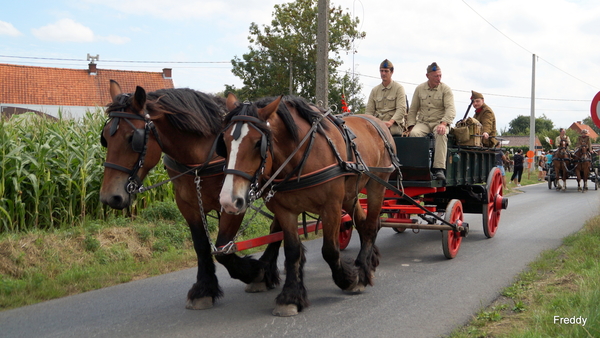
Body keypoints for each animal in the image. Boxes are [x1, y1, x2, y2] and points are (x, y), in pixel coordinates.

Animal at [99, 80, 282, 310]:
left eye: (133, 138)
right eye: (105, 138)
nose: (110, 197)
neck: (202, 156)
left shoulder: (235, 202)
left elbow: (222, 249)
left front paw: (255, 271)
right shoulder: (187, 203)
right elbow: (201, 245)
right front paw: (204, 290)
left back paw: (266, 270)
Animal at [217, 93, 398, 316]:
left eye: (258, 142)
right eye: (224, 142)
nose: (229, 200)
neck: (301, 156)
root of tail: (377, 122)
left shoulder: (331, 206)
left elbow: (330, 250)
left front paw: (349, 279)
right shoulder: (285, 210)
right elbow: (292, 251)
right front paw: (290, 297)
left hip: (377, 184)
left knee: (372, 225)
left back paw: (363, 270)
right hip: (349, 195)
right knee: (364, 224)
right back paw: (369, 261)